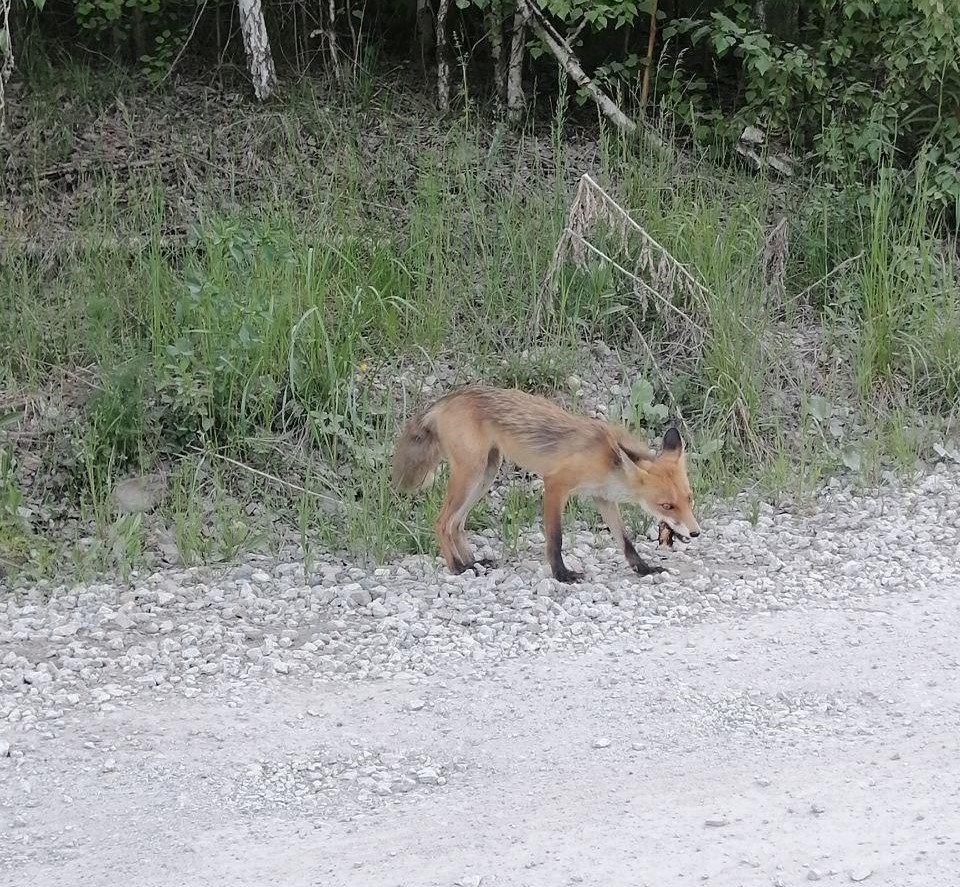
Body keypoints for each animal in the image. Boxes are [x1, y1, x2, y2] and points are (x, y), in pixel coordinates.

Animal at [394, 384, 700, 584]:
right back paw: (457, 567)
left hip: (486, 473)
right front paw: (562, 575)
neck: (607, 460)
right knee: (442, 522)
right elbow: (555, 538)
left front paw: (643, 568)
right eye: (666, 505)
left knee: (457, 523)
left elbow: (625, 541)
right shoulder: (556, 485)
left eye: (689, 498)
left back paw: (472, 563)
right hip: (471, 474)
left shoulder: (603, 498)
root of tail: (446, 399)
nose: (696, 532)